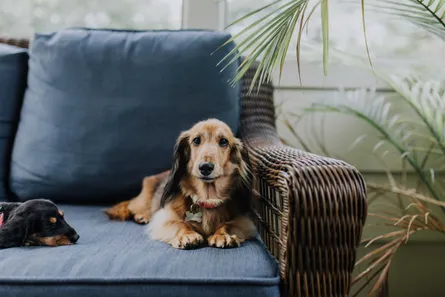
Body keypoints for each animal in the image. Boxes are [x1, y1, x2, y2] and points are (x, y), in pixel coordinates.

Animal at [104, 118, 255, 247]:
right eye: (196, 140)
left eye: (224, 141)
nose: (205, 167)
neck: (206, 199)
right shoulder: (165, 218)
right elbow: (180, 224)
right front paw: (187, 235)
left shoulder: (242, 221)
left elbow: (228, 224)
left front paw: (223, 235)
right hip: (143, 201)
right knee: (131, 206)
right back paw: (142, 216)